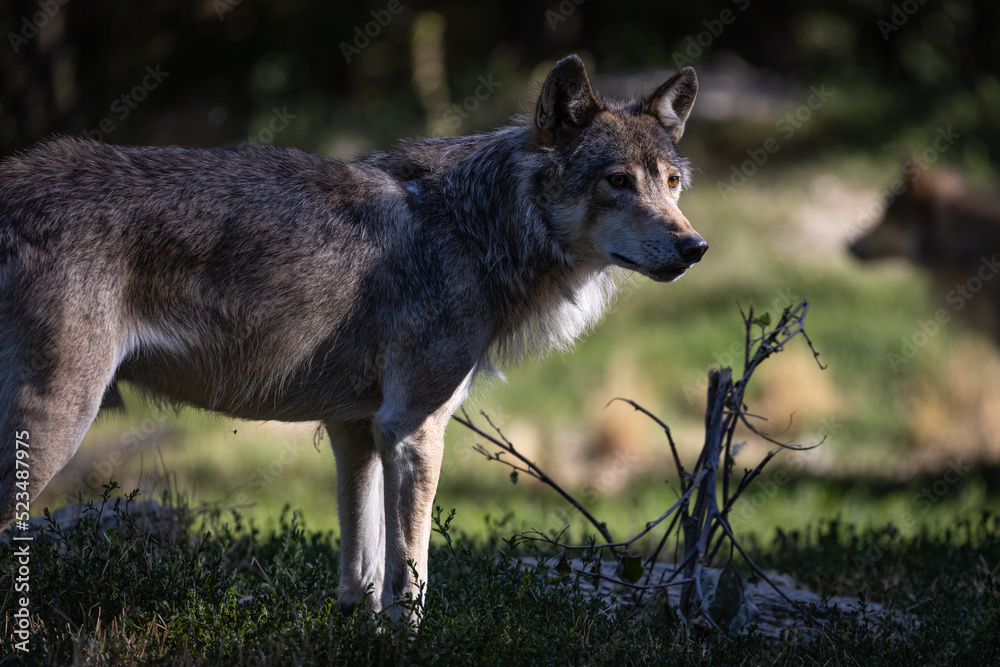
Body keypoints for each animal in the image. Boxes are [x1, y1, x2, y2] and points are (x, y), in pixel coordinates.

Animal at [0, 55, 706, 622]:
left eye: (671, 184)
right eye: (617, 180)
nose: (695, 247)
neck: (474, 228)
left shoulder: (357, 429)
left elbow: (361, 576)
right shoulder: (413, 428)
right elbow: (411, 579)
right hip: (56, 424)